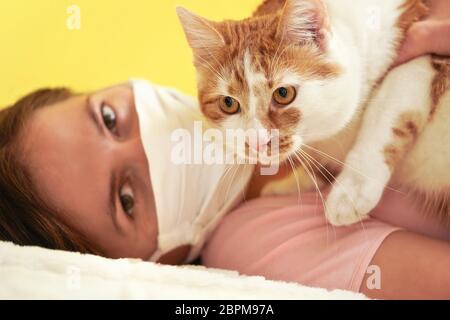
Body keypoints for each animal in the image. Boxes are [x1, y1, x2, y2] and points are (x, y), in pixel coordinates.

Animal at [178, 0, 450, 225]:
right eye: (228, 103)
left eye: (283, 94)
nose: (256, 142)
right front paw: (294, 183)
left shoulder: (426, 56)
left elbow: (386, 109)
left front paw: (351, 191)